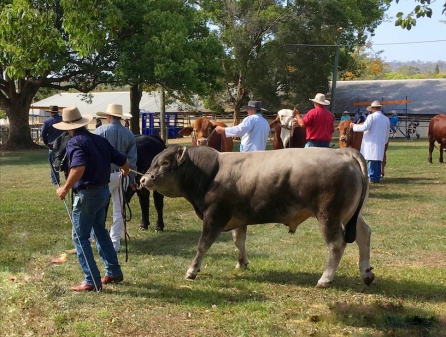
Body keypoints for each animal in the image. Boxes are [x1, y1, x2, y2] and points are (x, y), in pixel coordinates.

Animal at [141, 144, 374, 286]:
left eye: (165, 163)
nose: (143, 179)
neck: (210, 173)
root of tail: (342, 152)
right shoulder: (238, 218)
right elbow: (239, 240)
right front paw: (242, 263)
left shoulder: (214, 215)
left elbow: (203, 244)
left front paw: (192, 271)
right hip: (351, 215)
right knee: (364, 234)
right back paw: (366, 273)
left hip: (329, 215)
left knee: (337, 244)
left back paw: (325, 279)